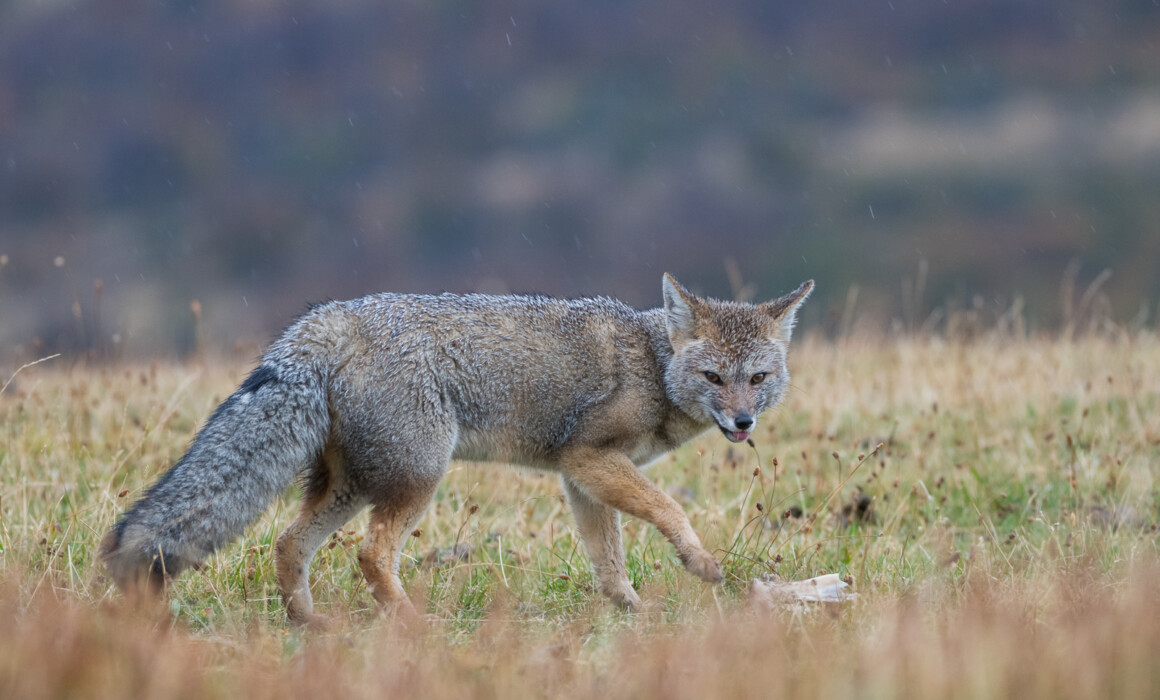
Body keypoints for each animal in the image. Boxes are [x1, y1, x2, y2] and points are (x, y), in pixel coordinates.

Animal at [101, 273, 812, 625]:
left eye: (757, 377)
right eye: (714, 377)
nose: (744, 421)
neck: (653, 364)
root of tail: (325, 320)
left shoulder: (580, 478)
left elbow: (607, 559)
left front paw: (629, 610)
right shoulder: (589, 460)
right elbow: (669, 509)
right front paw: (700, 563)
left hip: (354, 485)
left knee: (288, 543)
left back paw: (310, 625)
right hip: (418, 478)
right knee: (370, 554)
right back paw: (411, 623)